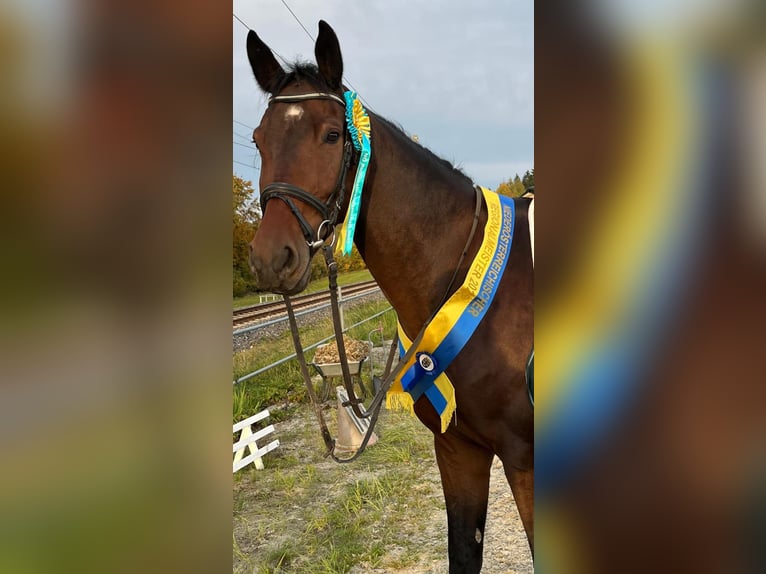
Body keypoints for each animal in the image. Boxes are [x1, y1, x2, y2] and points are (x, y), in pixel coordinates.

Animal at [246, 21, 533, 572]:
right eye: (259, 139)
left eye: (333, 134)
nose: (273, 258)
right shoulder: (458, 449)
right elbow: (463, 550)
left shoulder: (526, 461)